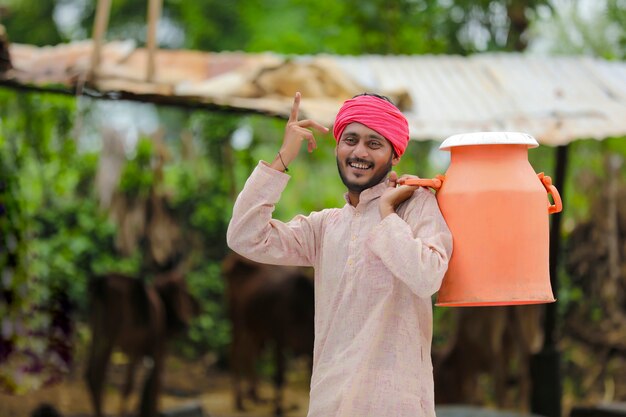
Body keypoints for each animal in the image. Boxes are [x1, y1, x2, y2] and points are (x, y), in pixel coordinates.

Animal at [222, 252, 314, 414]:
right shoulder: (279, 338)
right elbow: (279, 376)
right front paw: (277, 409)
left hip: (255, 327)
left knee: (249, 353)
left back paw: (255, 396)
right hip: (237, 318)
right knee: (235, 352)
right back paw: (239, 401)